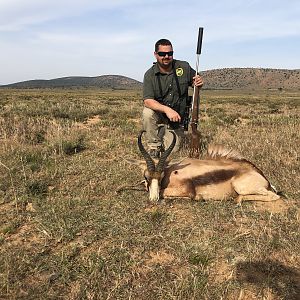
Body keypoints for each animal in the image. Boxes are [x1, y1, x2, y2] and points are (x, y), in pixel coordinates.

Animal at [128, 130, 282, 203]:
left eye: (161, 177)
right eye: (146, 177)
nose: (153, 199)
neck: (172, 172)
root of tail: (264, 178)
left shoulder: (185, 190)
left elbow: (164, 192)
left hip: (241, 187)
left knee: (274, 196)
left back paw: (237, 200)